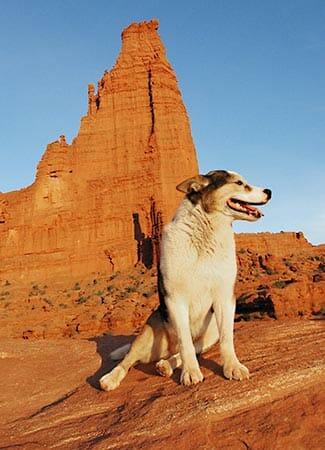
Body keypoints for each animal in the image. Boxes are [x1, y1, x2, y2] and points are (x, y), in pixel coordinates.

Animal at [99, 170, 270, 390]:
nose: (269, 192)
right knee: (128, 359)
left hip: (209, 335)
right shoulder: (176, 299)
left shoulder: (224, 298)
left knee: (183, 352)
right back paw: (110, 378)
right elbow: (185, 342)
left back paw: (166, 365)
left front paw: (233, 367)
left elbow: (226, 340)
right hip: (147, 335)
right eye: (239, 183)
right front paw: (190, 373)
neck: (205, 235)